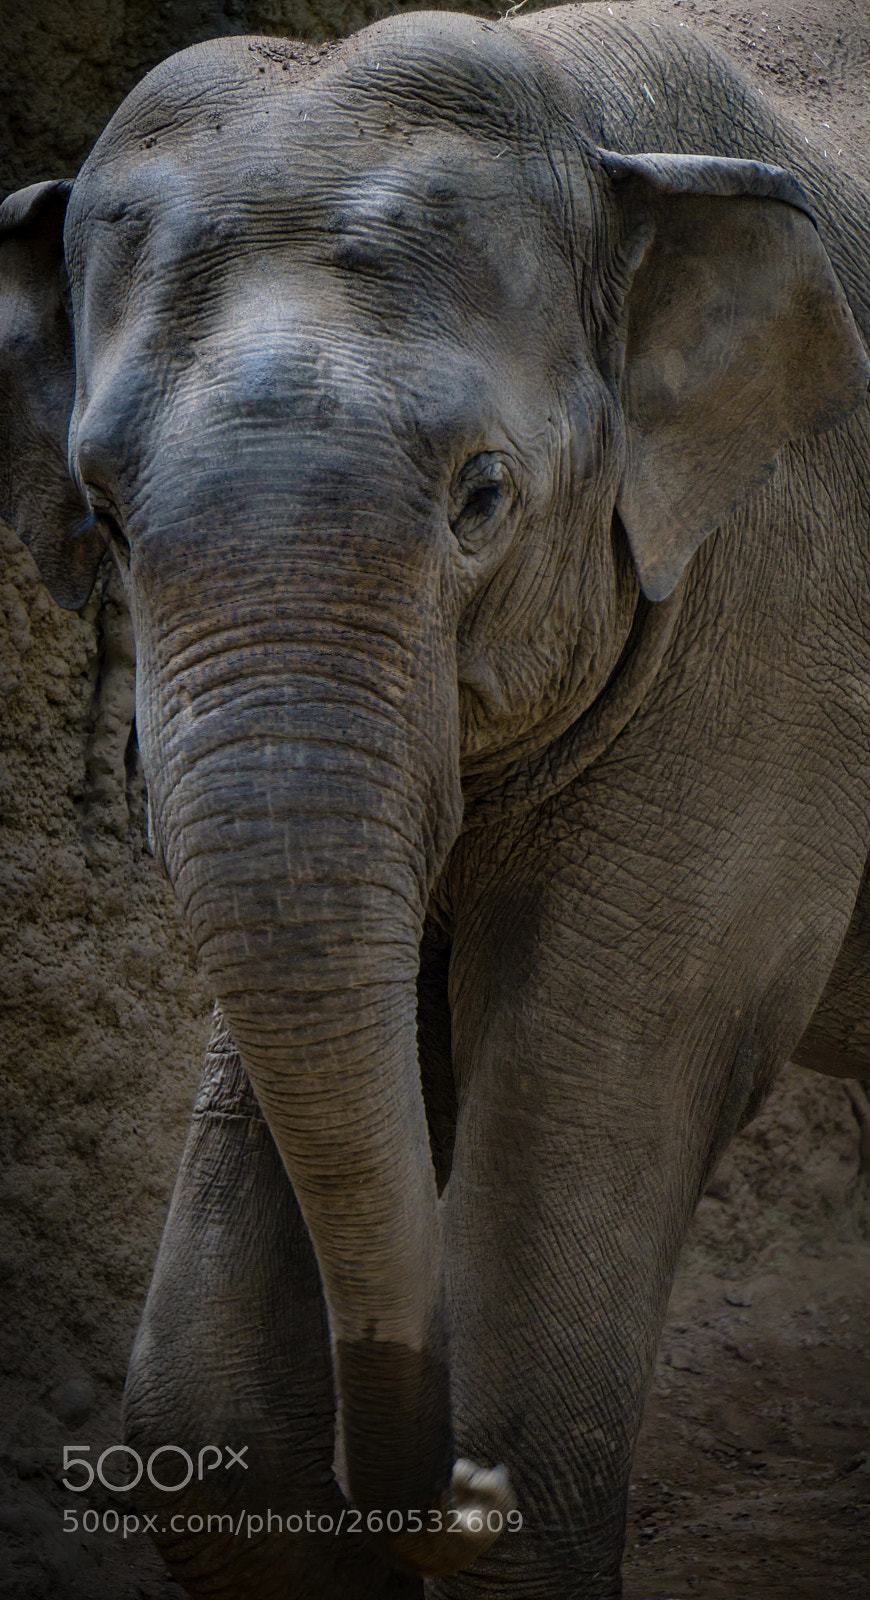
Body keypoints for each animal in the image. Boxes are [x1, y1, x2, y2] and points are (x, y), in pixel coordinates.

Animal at [2, 3, 870, 1595]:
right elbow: (214, 1427)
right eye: (100, 516)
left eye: (482, 498)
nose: (407, 1486)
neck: (594, 121)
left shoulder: (789, 607)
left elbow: (601, 1076)